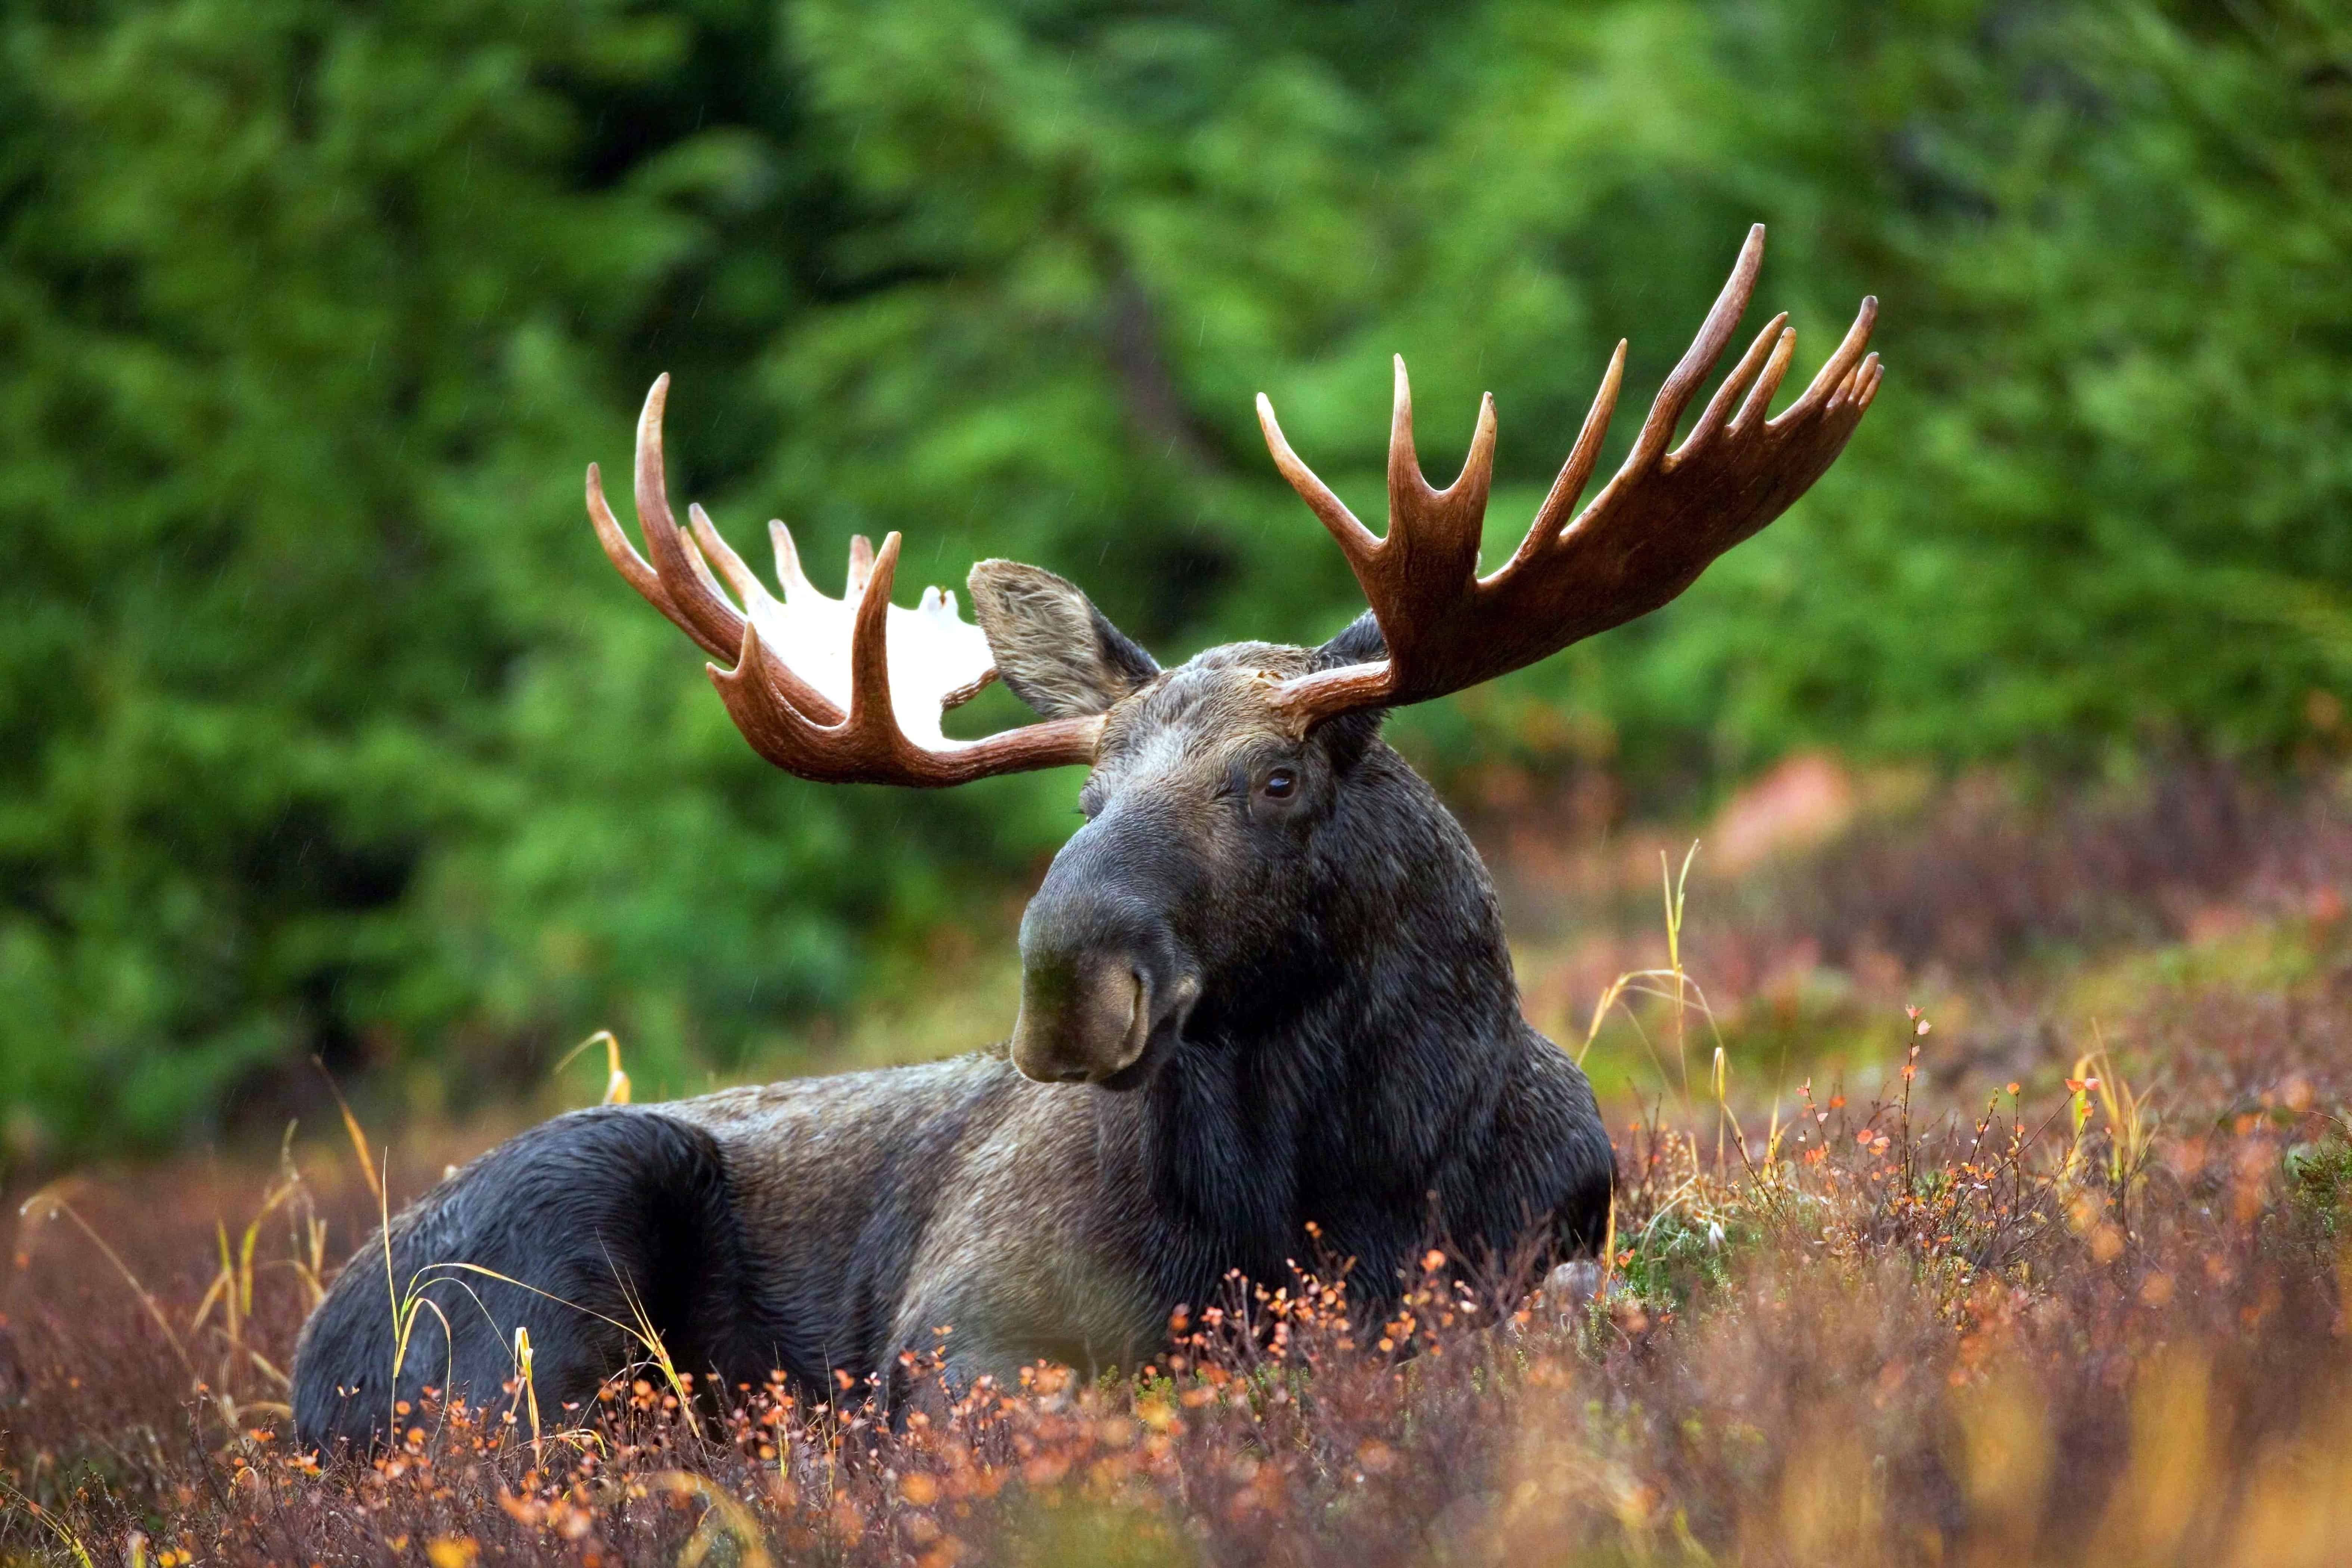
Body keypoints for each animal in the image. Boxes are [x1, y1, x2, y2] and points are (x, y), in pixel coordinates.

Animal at [294, 221, 1882, 1448]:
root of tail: (308, 1365)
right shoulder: (962, 1328)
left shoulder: (1550, 1242)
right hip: (549, 1256)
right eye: (1085, 797)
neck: (1340, 1185)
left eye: (1276, 779)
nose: (1066, 981)